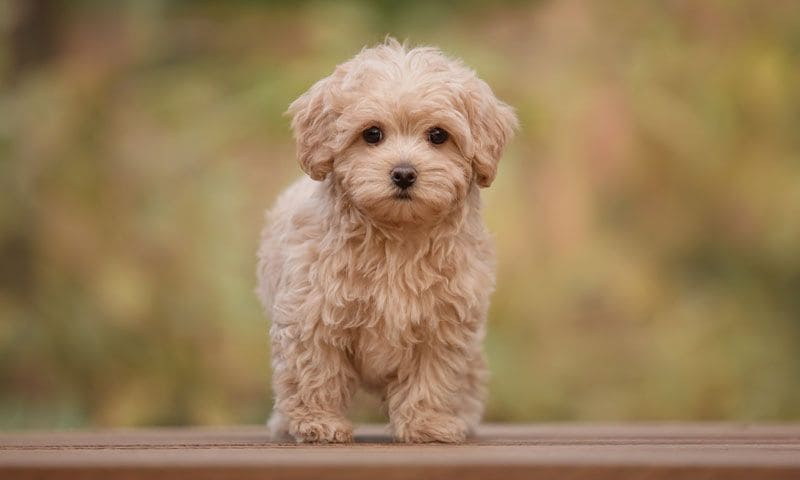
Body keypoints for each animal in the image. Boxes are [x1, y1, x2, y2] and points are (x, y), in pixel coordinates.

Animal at [256, 37, 520, 442]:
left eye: (438, 135)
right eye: (372, 134)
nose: (404, 173)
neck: (397, 238)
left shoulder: (443, 323)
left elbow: (432, 379)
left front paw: (426, 423)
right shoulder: (310, 315)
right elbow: (315, 372)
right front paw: (318, 422)